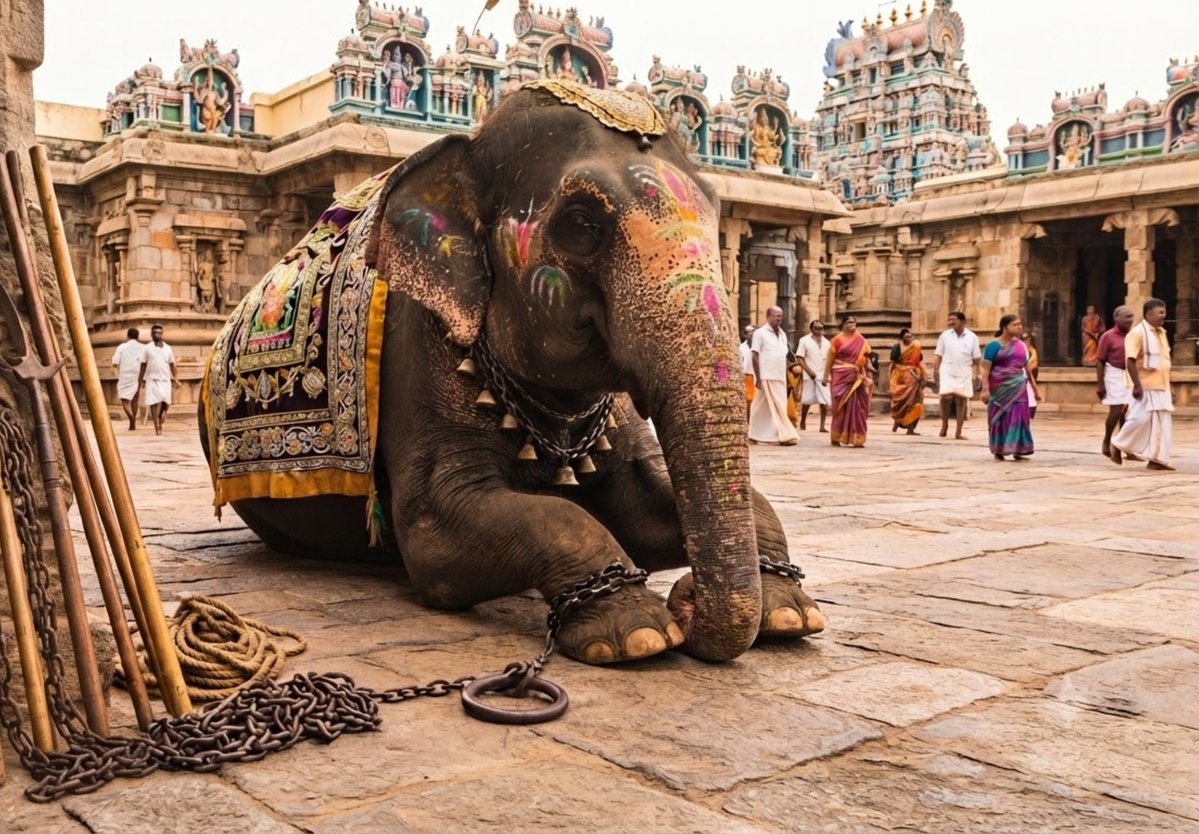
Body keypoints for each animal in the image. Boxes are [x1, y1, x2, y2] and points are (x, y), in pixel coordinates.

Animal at [201, 80, 823, 665]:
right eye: (580, 224)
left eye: (717, 215)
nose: (689, 600)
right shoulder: (416, 349)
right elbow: (444, 534)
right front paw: (637, 633)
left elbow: (641, 509)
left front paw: (788, 614)